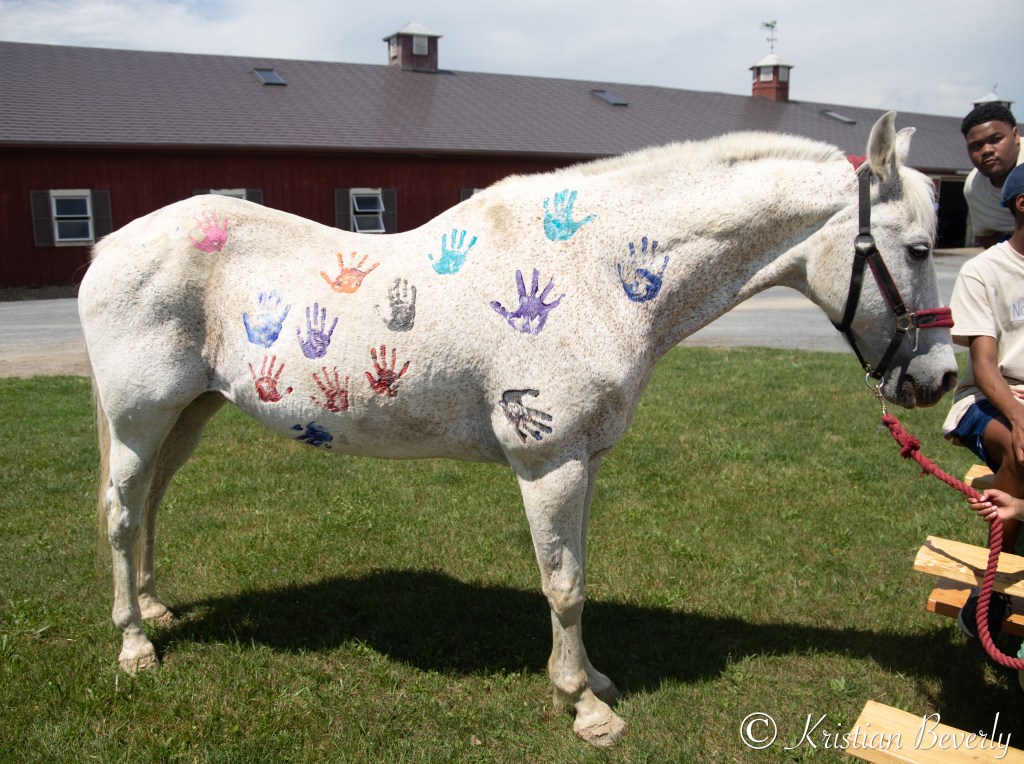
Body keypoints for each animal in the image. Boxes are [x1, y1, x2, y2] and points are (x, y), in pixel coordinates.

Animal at [79, 111, 957, 746]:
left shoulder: (583, 460)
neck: (598, 270)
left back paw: (156, 609)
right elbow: (563, 586)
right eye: (917, 248)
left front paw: (593, 682)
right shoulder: (549, 460)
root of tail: (110, 245)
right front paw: (586, 709)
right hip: (139, 416)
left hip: (187, 414)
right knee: (121, 515)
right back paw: (135, 646)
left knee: (151, 505)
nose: (939, 379)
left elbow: (577, 576)